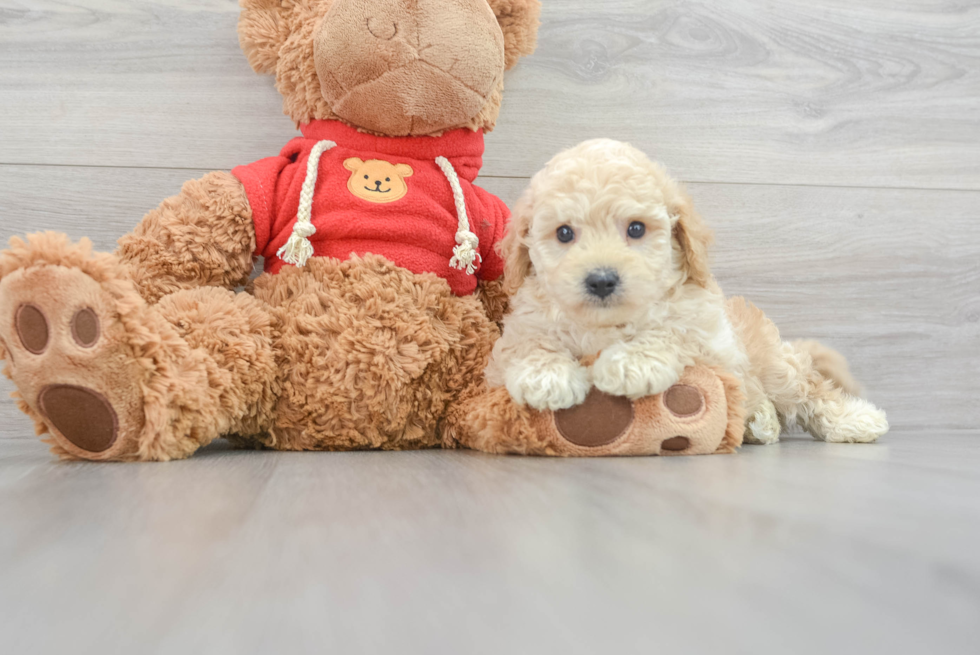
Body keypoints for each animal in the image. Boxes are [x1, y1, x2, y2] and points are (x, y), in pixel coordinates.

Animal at [488, 140, 888, 444]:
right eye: (564, 233)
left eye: (636, 228)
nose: (601, 280)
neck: (605, 325)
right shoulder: (514, 333)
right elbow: (527, 342)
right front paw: (546, 375)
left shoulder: (711, 338)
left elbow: (672, 330)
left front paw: (632, 363)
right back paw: (760, 423)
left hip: (774, 365)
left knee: (808, 391)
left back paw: (854, 420)